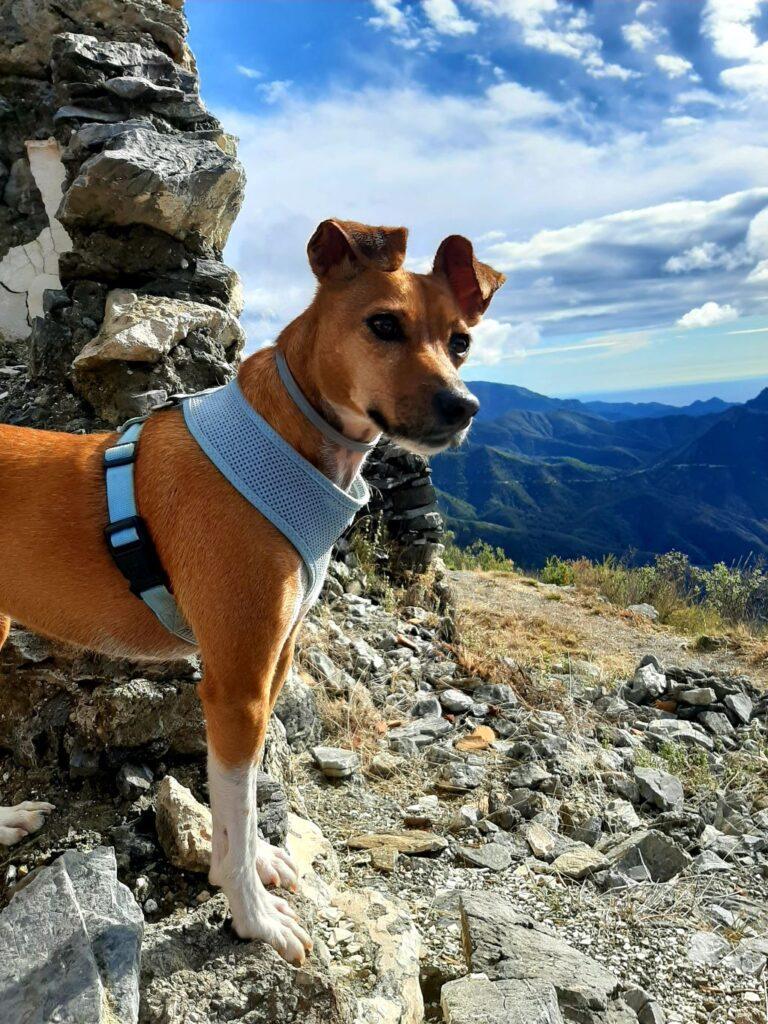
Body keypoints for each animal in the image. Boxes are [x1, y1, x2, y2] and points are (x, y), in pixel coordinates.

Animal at [0, 220, 505, 962]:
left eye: (462, 340)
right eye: (383, 324)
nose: (462, 405)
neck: (284, 448)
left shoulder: (272, 667)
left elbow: (242, 800)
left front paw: (252, 862)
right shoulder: (234, 686)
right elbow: (236, 801)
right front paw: (253, 917)